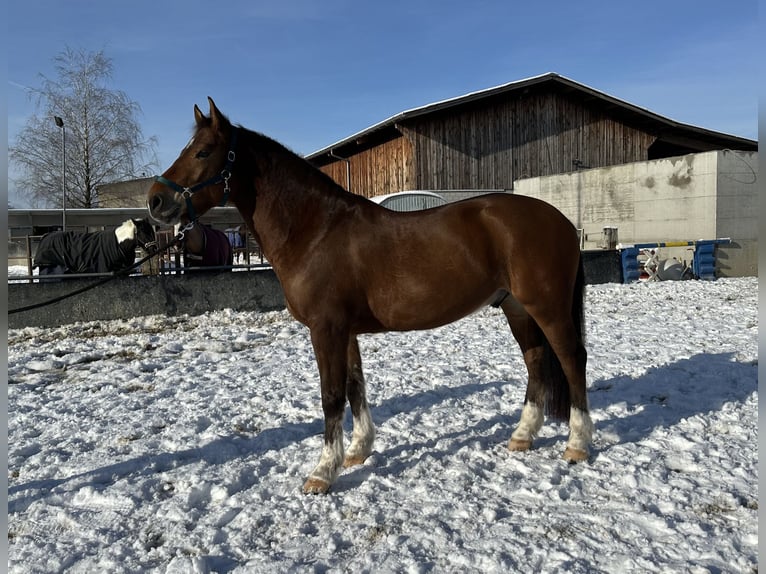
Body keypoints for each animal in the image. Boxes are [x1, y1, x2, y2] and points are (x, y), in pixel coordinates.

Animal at [148, 98, 592, 496]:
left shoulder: (326, 329)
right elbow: (355, 387)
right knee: (536, 360)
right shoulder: (345, 331)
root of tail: (561, 220)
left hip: (547, 307)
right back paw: (522, 436)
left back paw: (577, 444)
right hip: (516, 307)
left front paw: (322, 474)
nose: (155, 201)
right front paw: (357, 452)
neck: (316, 231)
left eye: (204, 151)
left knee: (572, 359)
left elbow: (331, 396)